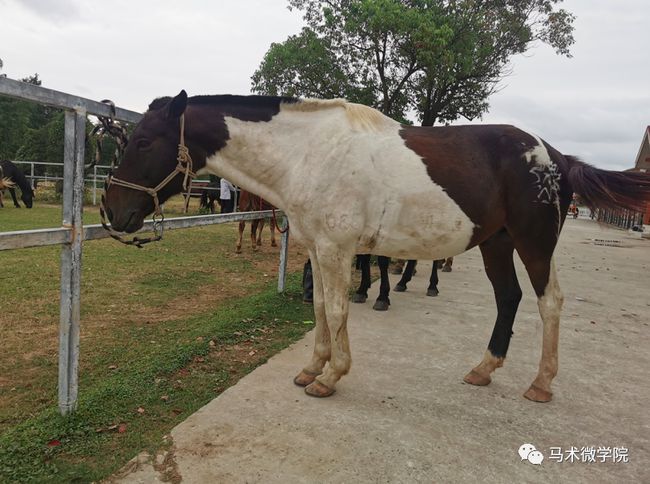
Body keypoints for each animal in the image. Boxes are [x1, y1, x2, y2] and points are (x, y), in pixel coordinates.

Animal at [101, 91, 648, 400]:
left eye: (144, 141)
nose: (111, 212)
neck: (308, 154)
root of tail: (555, 155)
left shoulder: (337, 249)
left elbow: (339, 309)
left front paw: (331, 377)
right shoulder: (318, 248)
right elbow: (320, 308)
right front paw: (312, 367)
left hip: (533, 243)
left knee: (548, 302)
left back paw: (541, 384)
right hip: (496, 244)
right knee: (509, 298)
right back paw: (483, 369)